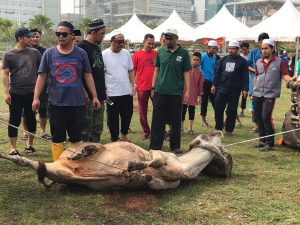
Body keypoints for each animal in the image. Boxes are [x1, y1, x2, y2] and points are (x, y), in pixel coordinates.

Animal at [0, 130, 232, 190]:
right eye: (207, 136)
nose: (219, 131)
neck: (185, 167)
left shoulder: (165, 184)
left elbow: (151, 180)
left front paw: (138, 176)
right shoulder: (156, 154)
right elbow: (152, 161)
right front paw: (134, 168)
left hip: (61, 172)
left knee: (29, 164)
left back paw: (8, 156)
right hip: (75, 153)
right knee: (91, 146)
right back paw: (83, 151)